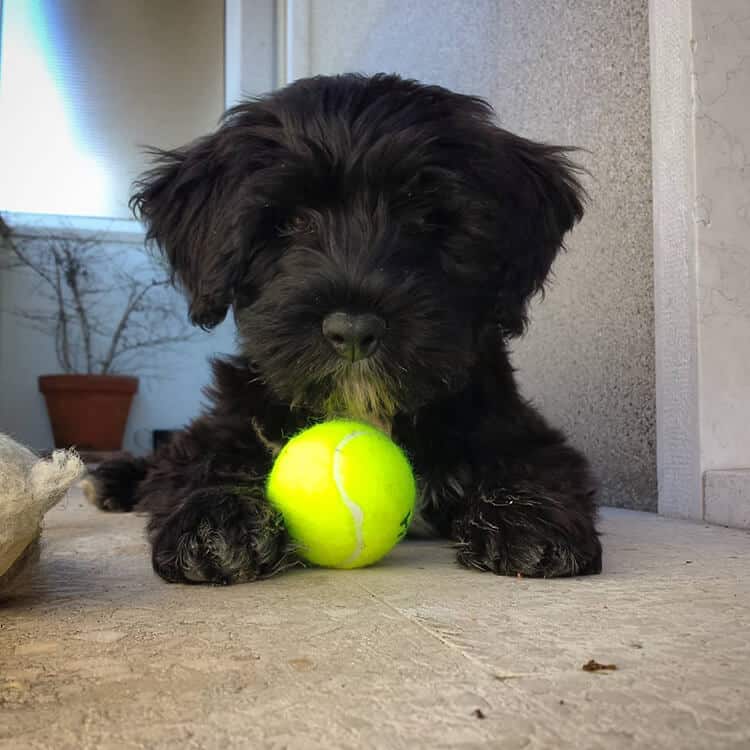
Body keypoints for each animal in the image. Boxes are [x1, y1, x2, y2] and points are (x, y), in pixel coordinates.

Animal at [89, 73, 604, 584]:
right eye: (292, 220)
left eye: (426, 216)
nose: (353, 329)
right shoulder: (227, 420)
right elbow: (196, 461)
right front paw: (216, 519)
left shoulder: (518, 427)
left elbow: (539, 463)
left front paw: (530, 517)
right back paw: (111, 477)